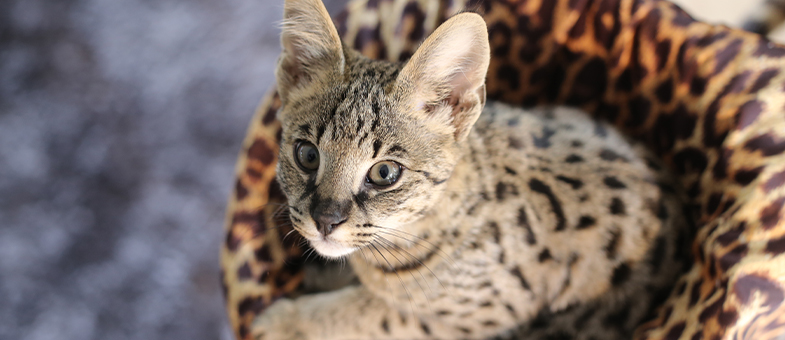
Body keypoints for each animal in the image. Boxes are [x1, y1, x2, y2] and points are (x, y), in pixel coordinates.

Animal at [258, 0, 688, 338]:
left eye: (385, 174)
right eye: (307, 155)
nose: (325, 221)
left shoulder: (479, 317)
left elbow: (369, 313)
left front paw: (285, 321)